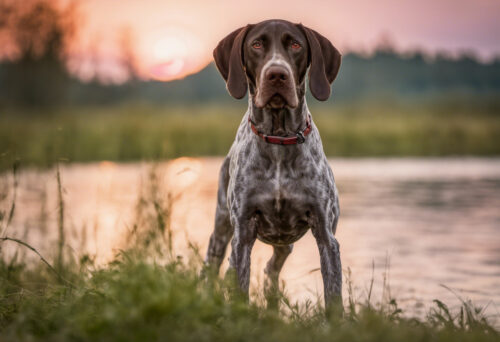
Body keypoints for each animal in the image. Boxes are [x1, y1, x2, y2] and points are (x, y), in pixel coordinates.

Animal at [205, 19, 342, 310]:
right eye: (257, 44)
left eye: (296, 44)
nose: (277, 74)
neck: (279, 139)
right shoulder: (242, 236)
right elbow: (239, 289)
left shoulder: (327, 238)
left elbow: (334, 298)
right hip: (221, 231)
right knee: (211, 267)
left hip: (283, 242)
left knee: (271, 269)